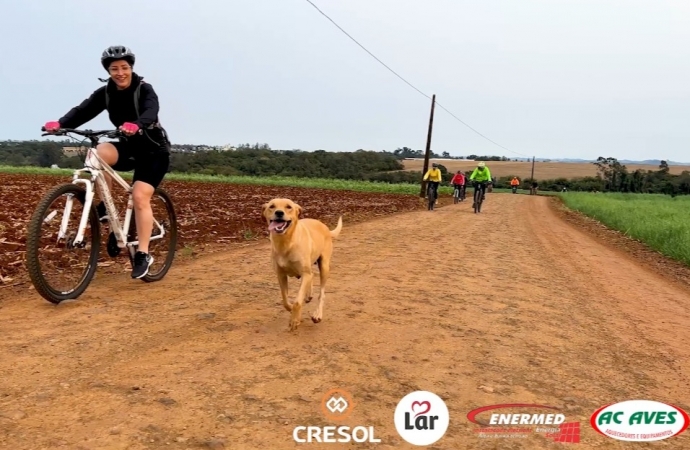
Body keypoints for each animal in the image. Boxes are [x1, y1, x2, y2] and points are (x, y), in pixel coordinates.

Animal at [260, 199, 342, 332]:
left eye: (289, 207)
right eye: (272, 206)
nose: (279, 213)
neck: (286, 243)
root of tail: (325, 227)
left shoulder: (304, 273)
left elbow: (297, 301)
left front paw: (295, 320)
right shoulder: (281, 275)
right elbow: (285, 300)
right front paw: (292, 310)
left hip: (324, 266)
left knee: (322, 293)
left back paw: (317, 314)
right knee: (312, 276)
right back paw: (308, 296)